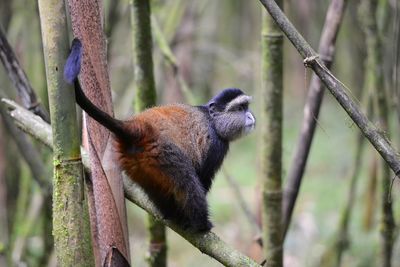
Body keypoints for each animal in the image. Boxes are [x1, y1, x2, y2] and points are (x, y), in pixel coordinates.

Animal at [63, 38, 256, 232]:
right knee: (188, 183)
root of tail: (138, 128)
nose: (251, 116)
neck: (213, 121)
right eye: (240, 108)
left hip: (139, 166)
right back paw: (200, 224)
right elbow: (202, 178)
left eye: (246, 107)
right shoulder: (216, 146)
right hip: (166, 156)